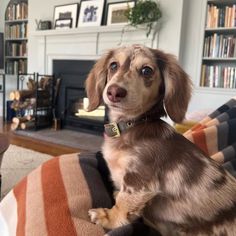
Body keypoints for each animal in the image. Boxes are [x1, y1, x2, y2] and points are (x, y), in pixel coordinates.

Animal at [85, 45, 236, 235]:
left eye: (147, 70)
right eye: (113, 65)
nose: (114, 92)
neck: (132, 125)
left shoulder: (138, 180)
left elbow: (123, 203)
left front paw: (108, 217)